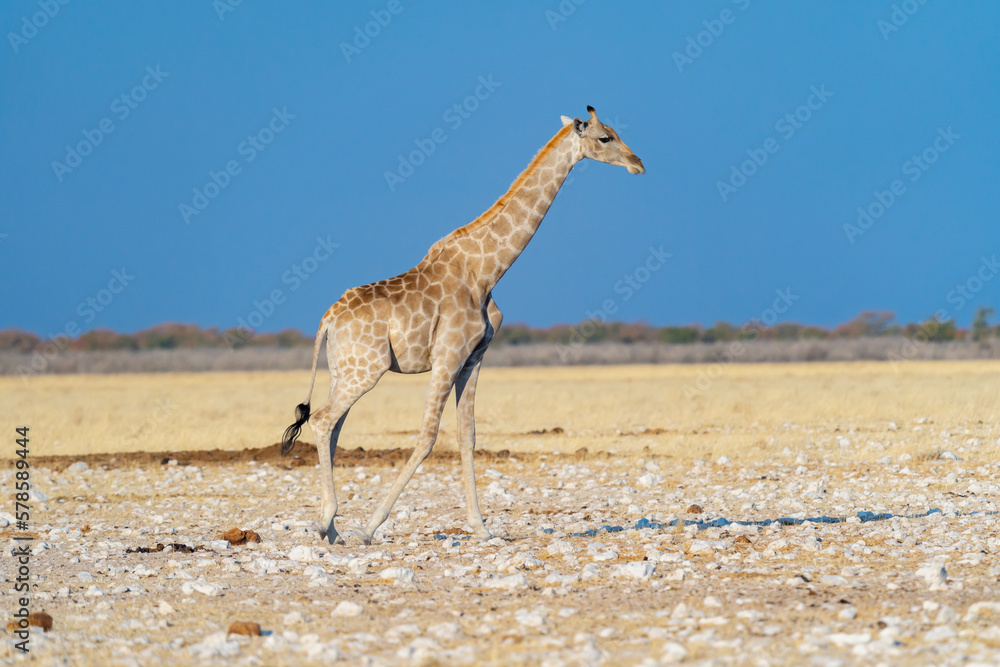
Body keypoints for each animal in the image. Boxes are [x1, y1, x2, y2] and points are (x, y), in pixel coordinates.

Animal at [282, 106, 644, 545]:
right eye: (605, 138)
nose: (638, 164)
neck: (488, 270)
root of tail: (327, 319)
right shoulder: (447, 356)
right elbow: (427, 438)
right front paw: (369, 528)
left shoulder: (473, 358)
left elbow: (467, 436)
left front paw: (481, 527)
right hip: (364, 371)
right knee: (321, 421)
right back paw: (326, 521)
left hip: (344, 371)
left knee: (332, 427)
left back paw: (331, 528)